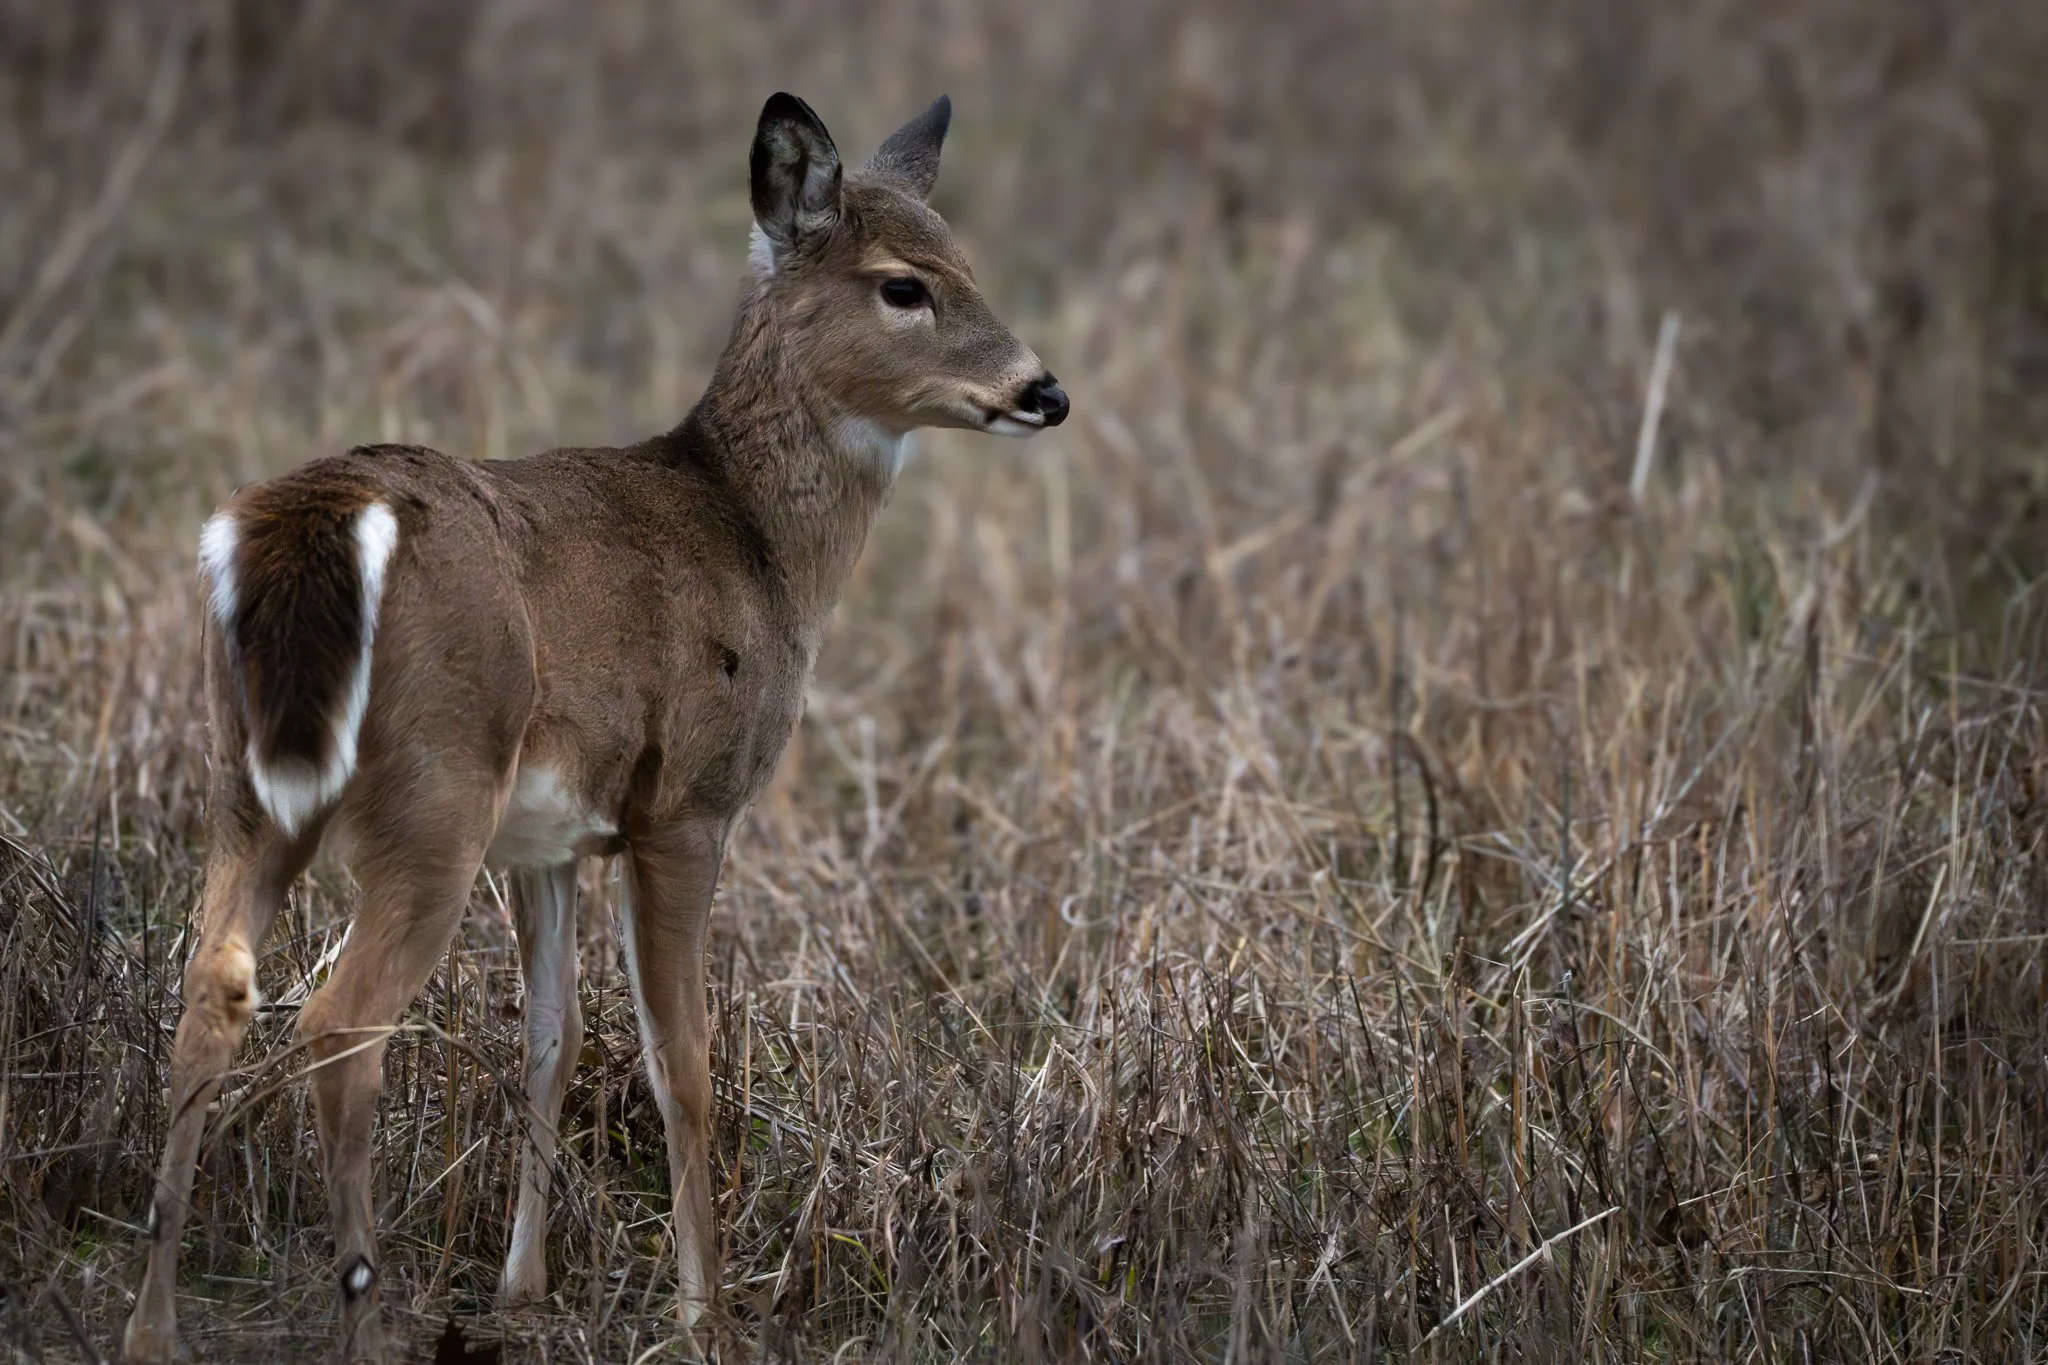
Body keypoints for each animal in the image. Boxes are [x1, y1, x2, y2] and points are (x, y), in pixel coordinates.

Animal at [121, 92, 1067, 1364]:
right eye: (903, 284)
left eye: (964, 259)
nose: (1042, 391)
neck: (759, 546)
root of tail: (316, 520)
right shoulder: (686, 805)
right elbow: (684, 1061)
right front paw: (704, 1315)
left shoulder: (550, 838)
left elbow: (552, 1035)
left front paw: (523, 1289)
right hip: (435, 785)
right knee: (340, 1018)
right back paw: (358, 1304)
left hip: (247, 774)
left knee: (210, 988)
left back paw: (152, 1325)